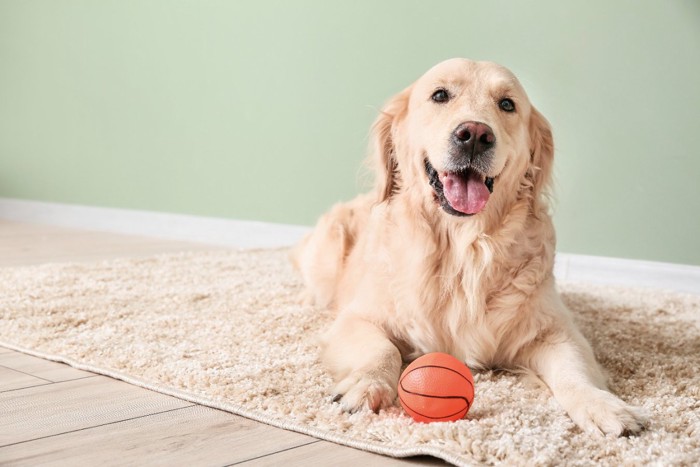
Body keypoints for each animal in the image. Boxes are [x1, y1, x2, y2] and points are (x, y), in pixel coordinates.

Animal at [292, 59, 648, 438]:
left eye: (507, 104)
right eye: (440, 95)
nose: (475, 134)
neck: (464, 250)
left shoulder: (556, 331)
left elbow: (574, 370)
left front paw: (603, 406)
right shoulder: (359, 317)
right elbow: (382, 350)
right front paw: (367, 385)